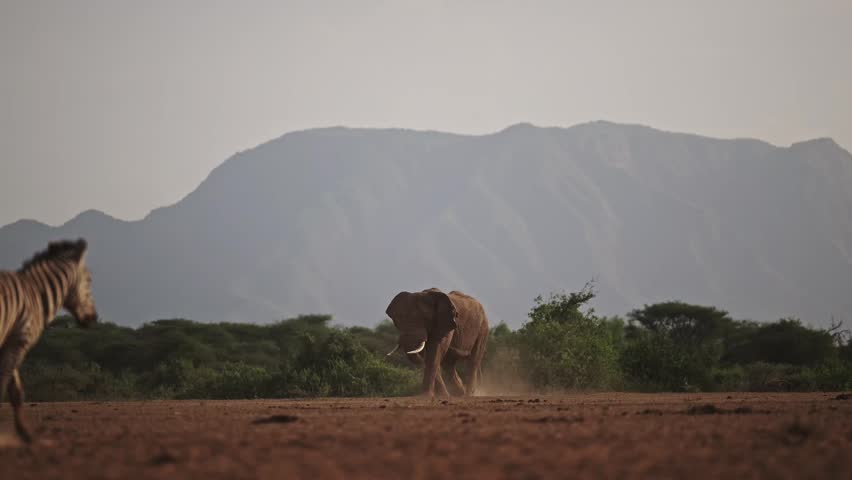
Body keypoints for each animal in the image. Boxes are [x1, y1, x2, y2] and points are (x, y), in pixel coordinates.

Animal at [0, 238, 98, 443]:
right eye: (89, 280)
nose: (94, 318)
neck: (35, 293)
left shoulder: (10, 342)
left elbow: (16, 392)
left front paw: (26, 434)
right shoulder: (18, 341)